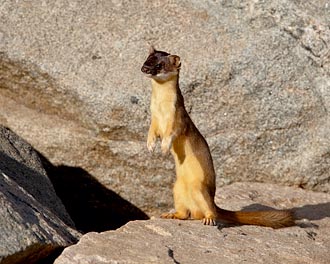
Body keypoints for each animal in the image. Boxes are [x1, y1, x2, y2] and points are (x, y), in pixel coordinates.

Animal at [141, 46, 296, 228]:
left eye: (159, 65)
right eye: (146, 59)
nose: (144, 68)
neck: (161, 109)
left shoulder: (178, 119)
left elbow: (171, 134)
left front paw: (164, 148)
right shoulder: (154, 119)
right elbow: (152, 132)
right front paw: (150, 146)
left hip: (200, 189)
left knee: (209, 210)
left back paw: (208, 218)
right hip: (177, 188)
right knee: (185, 213)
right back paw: (171, 214)